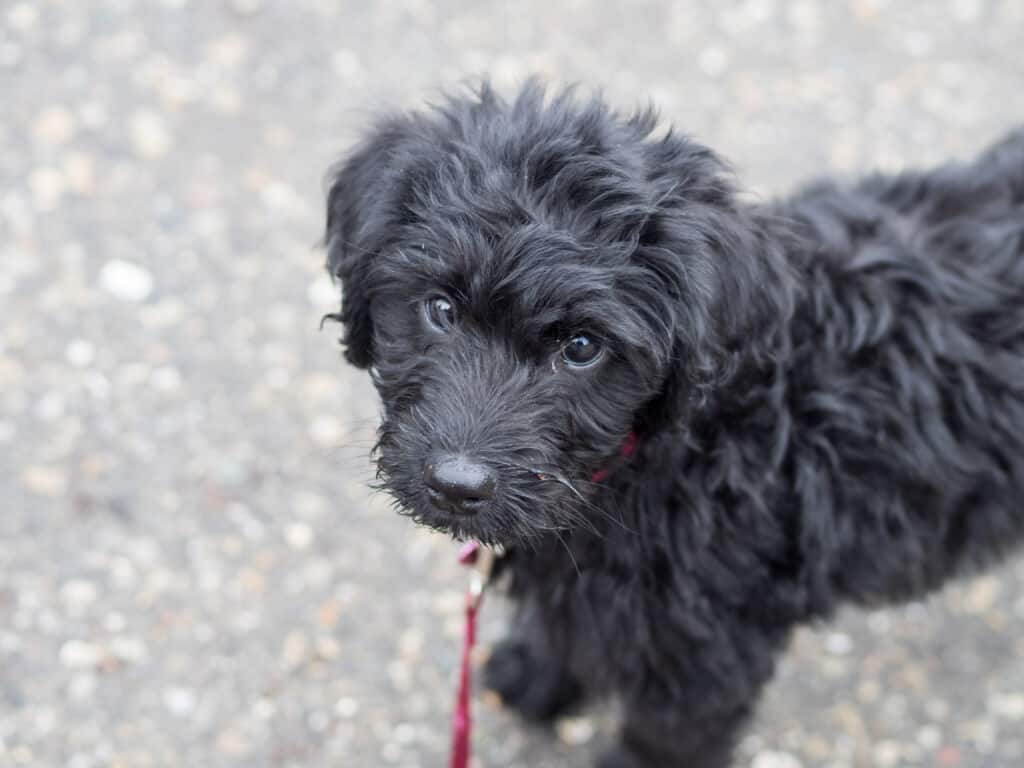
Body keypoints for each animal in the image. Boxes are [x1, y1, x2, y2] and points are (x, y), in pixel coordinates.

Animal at [323, 81, 1024, 765]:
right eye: (439, 308)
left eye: (582, 346)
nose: (457, 486)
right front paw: (538, 676)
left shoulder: (706, 653)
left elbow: (662, 738)